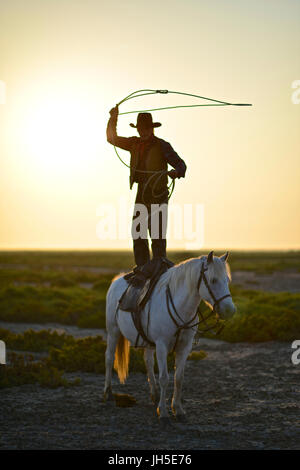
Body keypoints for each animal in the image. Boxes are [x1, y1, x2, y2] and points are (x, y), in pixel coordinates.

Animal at [103, 252, 237, 424]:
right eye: (213, 280)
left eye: (227, 280)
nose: (229, 310)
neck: (180, 307)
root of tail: (117, 279)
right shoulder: (161, 345)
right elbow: (164, 378)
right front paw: (164, 413)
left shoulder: (185, 347)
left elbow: (178, 378)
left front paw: (178, 410)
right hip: (113, 331)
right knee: (109, 357)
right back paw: (108, 394)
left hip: (146, 341)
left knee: (147, 361)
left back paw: (154, 395)